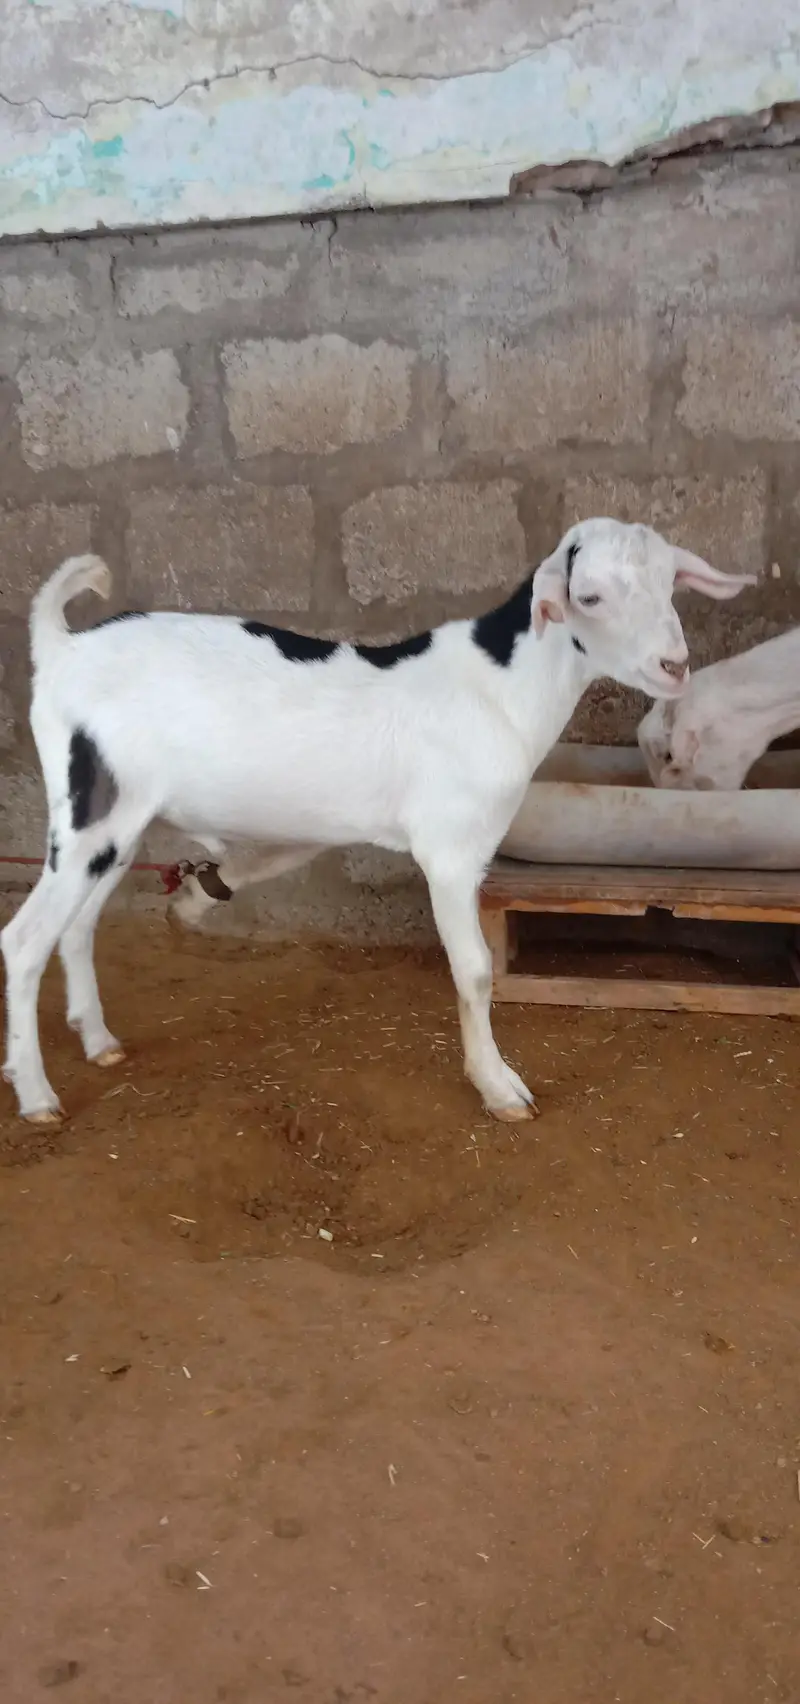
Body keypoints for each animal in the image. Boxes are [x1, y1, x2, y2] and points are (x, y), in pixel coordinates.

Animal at [1, 518, 753, 1125]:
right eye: (589, 597)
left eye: (671, 581)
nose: (674, 665)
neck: (499, 688)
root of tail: (61, 648)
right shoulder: (451, 851)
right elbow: (475, 970)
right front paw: (499, 1088)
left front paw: (193, 899)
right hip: (90, 812)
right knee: (24, 939)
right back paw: (36, 1095)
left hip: (113, 823)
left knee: (77, 925)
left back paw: (98, 1041)